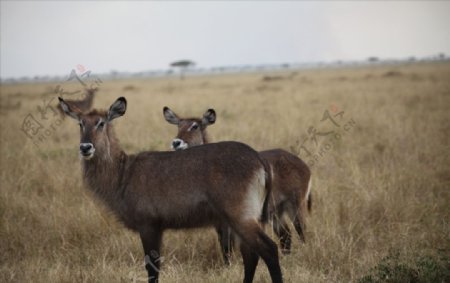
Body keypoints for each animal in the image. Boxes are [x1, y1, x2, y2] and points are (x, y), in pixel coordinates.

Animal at [58, 97, 284, 283]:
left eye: (101, 123)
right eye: (80, 123)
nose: (85, 147)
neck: (123, 173)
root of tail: (259, 159)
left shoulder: (148, 225)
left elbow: (152, 269)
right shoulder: (159, 228)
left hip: (240, 216)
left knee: (269, 249)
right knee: (251, 255)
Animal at [163, 107, 312, 264]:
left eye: (195, 126)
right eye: (178, 125)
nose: (176, 143)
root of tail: (302, 164)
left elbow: (230, 246)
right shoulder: (219, 222)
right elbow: (225, 247)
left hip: (296, 205)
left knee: (302, 232)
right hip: (275, 212)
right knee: (286, 235)